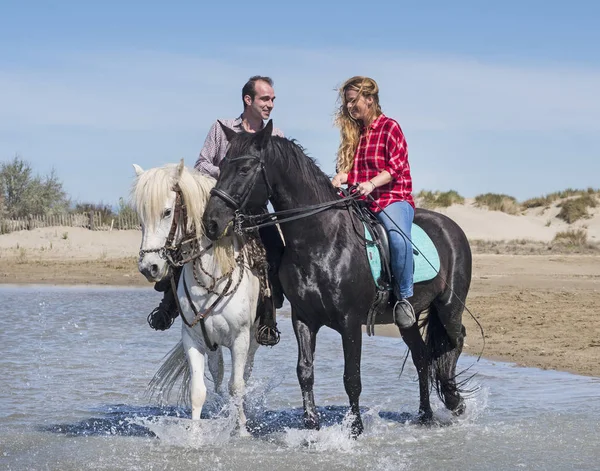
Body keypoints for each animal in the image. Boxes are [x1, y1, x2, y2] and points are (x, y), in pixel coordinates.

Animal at [134, 160, 260, 434]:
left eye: (167, 212)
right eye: (140, 217)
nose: (149, 267)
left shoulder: (240, 339)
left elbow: (237, 386)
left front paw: (242, 430)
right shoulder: (194, 339)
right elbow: (198, 391)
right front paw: (195, 433)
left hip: (254, 339)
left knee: (244, 375)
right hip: (213, 344)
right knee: (218, 377)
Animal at [204, 121, 472, 438]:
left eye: (245, 169)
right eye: (221, 165)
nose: (210, 222)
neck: (321, 240)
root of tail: (450, 226)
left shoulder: (350, 322)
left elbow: (351, 377)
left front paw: (354, 428)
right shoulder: (303, 319)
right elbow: (305, 372)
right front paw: (311, 425)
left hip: (449, 307)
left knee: (455, 340)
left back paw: (455, 402)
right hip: (406, 319)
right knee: (421, 357)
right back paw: (425, 415)